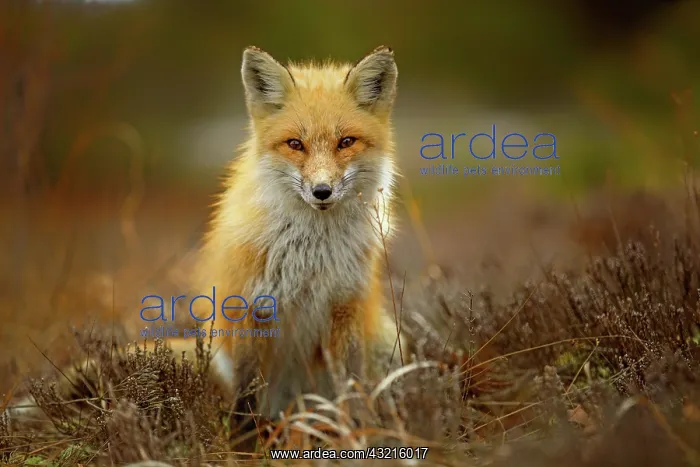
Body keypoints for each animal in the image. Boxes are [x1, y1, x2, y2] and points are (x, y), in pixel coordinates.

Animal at [6, 45, 404, 423]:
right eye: (295, 144)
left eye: (345, 142)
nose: (322, 191)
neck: (311, 254)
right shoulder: (250, 308)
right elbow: (247, 397)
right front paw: (245, 438)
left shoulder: (345, 309)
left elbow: (351, 388)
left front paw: (356, 429)